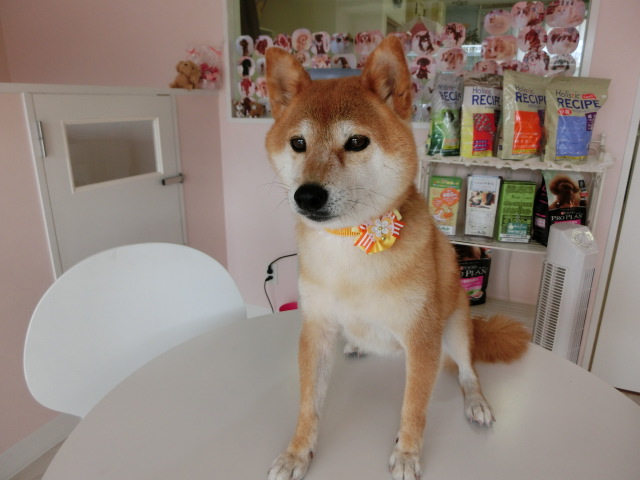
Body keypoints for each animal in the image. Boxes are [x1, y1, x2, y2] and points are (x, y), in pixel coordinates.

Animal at [264, 36, 530, 480]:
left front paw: (407, 453)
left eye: (356, 142)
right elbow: (308, 405)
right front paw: (297, 452)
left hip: (456, 325)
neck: (351, 246)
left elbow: (414, 408)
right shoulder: (316, 328)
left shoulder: (421, 337)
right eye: (297, 143)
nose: (308, 195)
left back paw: (475, 401)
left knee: (468, 370)